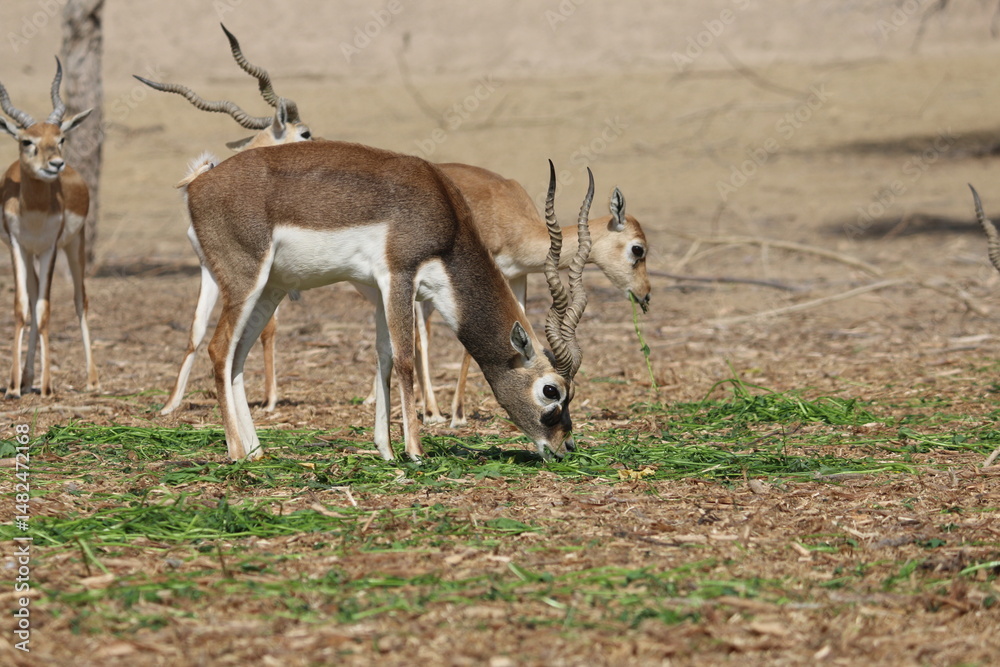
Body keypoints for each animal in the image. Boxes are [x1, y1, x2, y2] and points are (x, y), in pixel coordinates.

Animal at [0, 57, 98, 398]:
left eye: (61, 139)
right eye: (26, 141)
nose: (55, 164)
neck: (34, 213)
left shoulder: (51, 247)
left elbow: (45, 310)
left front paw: (46, 386)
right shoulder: (18, 246)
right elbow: (22, 308)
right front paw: (13, 387)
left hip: (74, 246)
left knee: (80, 301)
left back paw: (92, 381)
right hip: (32, 254)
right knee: (31, 298)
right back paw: (26, 378)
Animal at [135, 24, 314, 415]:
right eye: (305, 133)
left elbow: (266, 328)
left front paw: (271, 400)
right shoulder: (208, 268)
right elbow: (195, 329)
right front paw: (169, 405)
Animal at [183, 146, 592, 462]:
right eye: (551, 391)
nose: (565, 447)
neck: (443, 219)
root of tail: (198, 183)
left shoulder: (378, 288)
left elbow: (382, 357)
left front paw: (386, 450)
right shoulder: (399, 276)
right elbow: (405, 358)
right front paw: (415, 451)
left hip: (271, 289)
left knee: (237, 356)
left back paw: (256, 451)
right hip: (245, 281)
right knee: (219, 350)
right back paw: (236, 452)